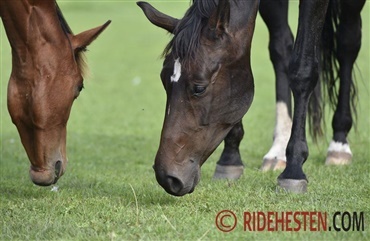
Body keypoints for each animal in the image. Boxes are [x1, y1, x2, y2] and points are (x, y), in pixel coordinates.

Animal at [138, 0, 364, 196]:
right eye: (164, 80)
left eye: (199, 88)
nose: (167, 177)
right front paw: (230, 159)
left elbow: (303, 69)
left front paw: (294, 171)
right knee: (282, 48)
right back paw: (278, 149)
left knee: (347, 43)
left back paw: (339, 145)